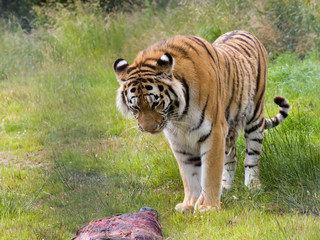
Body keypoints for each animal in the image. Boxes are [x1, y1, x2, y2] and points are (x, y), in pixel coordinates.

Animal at [113, 30, 290, 214]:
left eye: (156, 103)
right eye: (135, 107)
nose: (149, 129)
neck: (178, 115)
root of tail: (244, 31)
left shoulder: (214, 131)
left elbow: (210, 172)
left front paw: (208, 207)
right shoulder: (179, 140)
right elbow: (189, 175)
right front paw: (189, 204)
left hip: (254, 116)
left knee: (251, 158)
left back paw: (253, 186)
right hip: (230, 129)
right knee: (231, 157)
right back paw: (226, 186)